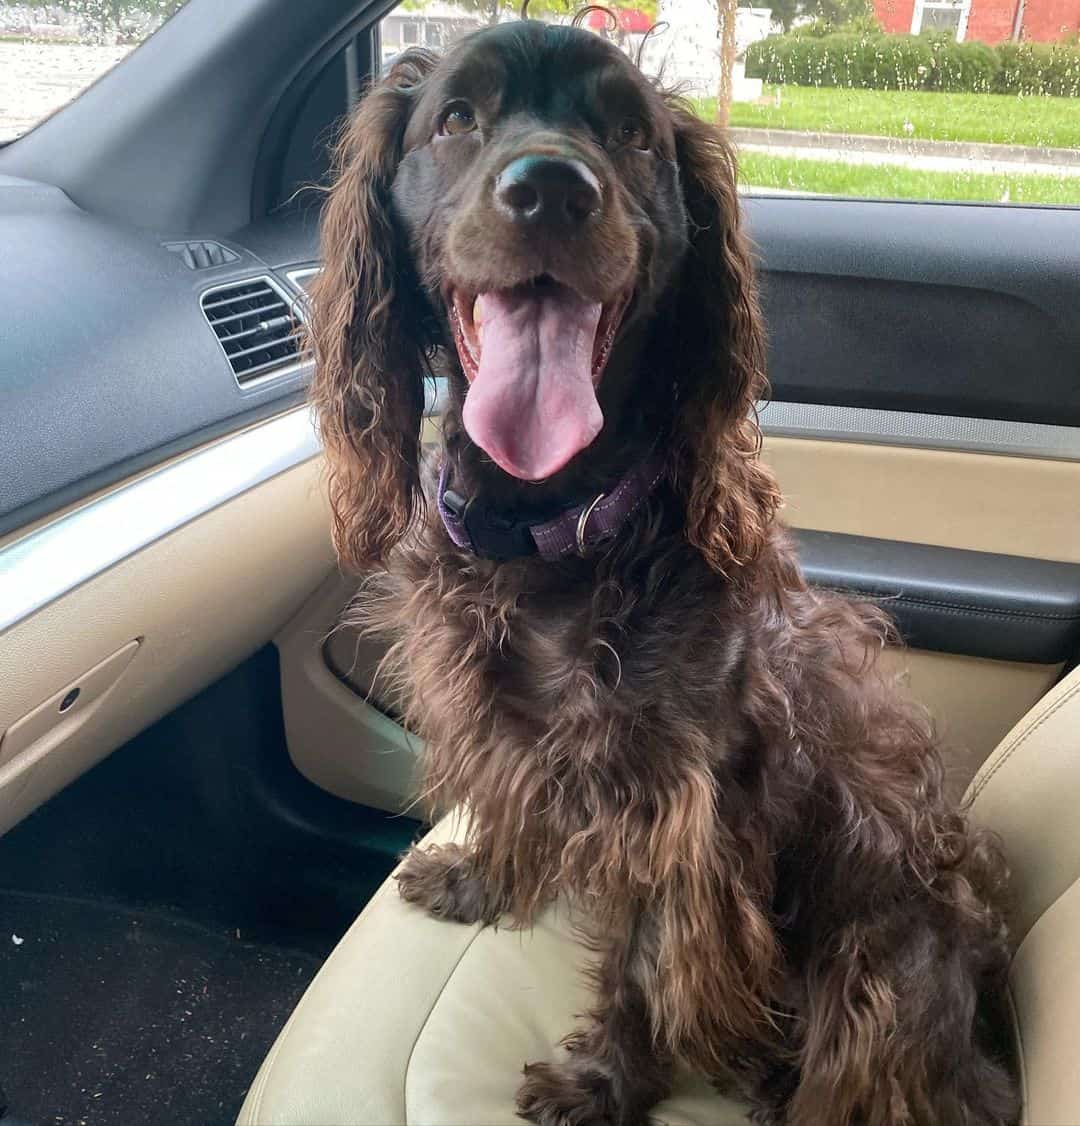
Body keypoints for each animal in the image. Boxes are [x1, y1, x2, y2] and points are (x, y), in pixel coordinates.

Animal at [306, 17, 1022, 1126]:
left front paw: (603, 1082)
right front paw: (479, 881)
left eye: (633, 135)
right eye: (457, 117)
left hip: (884, 965)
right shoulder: (505, 728)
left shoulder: (677, 808)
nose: (551, 190)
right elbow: (511, 807)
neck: (553, 530)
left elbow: (643, 966)